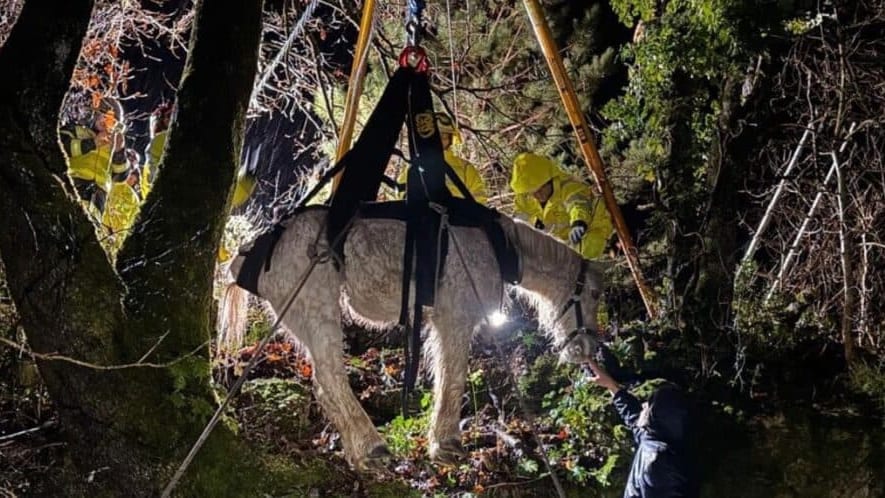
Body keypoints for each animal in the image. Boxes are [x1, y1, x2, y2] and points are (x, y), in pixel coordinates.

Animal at [221, 205, 604, 471]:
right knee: (331, 378)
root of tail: (250, 253)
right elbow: (453, 378)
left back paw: (358, 452)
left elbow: (442, 375)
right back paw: (373, 447)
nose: (589, 349)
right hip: (317, 310)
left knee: (323, 385)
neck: (500, 245)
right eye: (595, 294)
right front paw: (447, 444)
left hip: (300, 321)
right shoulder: (455, 318)